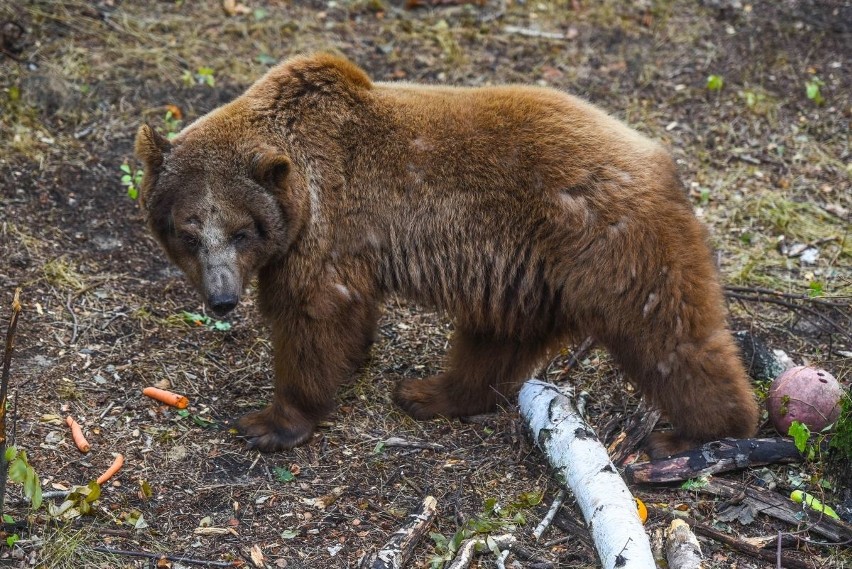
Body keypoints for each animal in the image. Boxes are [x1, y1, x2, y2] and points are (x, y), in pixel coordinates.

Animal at [138, 51, 760, 454]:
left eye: (242, 231)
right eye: (188, 232)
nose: (221, 298)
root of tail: (659, 156)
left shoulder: (326, 230)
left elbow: (313, 317)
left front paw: (270, 422)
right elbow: (348, 316)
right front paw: (354, 362)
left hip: (608, 243)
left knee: (669, 334)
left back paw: (704, 430)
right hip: (525, 272)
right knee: (497, 341)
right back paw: (428, 393)